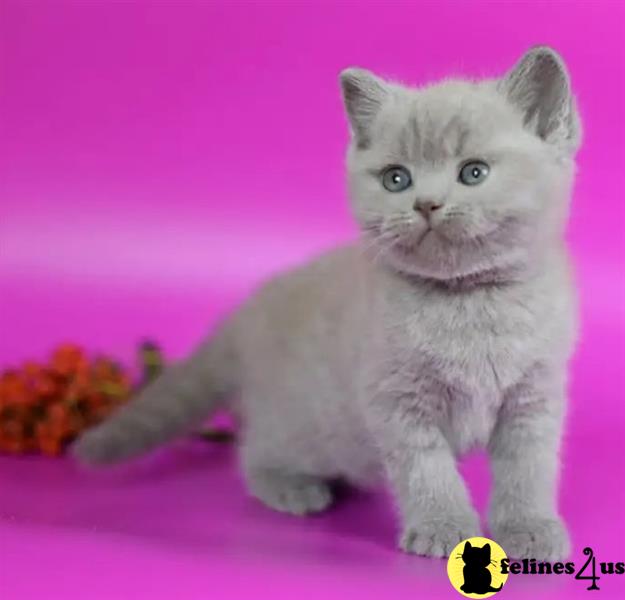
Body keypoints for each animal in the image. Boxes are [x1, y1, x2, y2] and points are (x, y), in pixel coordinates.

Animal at [75, 47, 584, 564]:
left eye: (473, 172)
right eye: (396, 179)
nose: (425, 203)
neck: (468, 301)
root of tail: (251, 308)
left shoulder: (534, 395)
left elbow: (528, 469)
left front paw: (530, 528)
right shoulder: (397, 399)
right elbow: (427, 470)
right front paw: (443, 527)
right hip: (305, 426)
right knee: (255, 451)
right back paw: (291, 487)